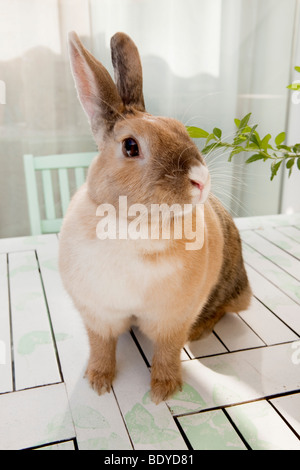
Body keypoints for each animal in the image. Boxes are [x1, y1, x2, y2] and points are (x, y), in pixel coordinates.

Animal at [58, 30, 251, 404]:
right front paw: (98, 382)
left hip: (232, 291)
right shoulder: (97, 313)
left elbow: (168, 351)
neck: (138, 227)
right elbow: (101, 346)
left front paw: (163, 389)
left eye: (180, 128)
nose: (200, 179)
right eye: (130, 146)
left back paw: (200, 332)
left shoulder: (173, 318)